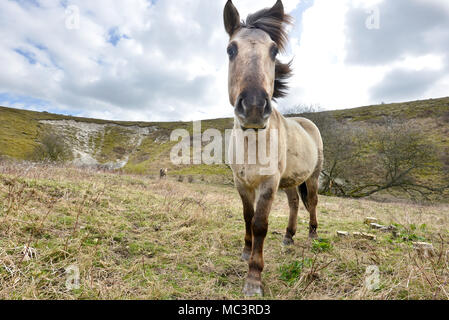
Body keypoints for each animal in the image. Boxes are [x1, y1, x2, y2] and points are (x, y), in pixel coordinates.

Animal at [223, 0, 322, 298]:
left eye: (273, 50)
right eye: (231, 49)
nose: (254, 107)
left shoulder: (269, 183)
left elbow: (260, 224)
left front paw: (254, 278)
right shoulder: (241, 182)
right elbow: (247, 217)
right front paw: (246, 252)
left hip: (312, 177)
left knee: (312, 203)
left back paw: (312, 235)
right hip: (290, 181)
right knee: (294, 205)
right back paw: (289, 238)